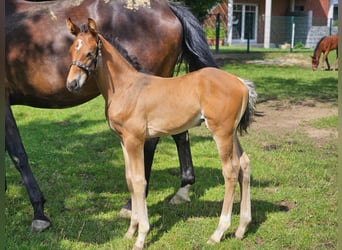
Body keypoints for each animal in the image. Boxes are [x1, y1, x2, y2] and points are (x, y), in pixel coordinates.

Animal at [5, 0, 218, 231]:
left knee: (150, 144)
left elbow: (17, 154)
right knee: (179, 133)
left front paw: (39, 214)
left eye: (90, 53)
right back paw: (182, 190)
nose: (72, 83)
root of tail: (168, 8)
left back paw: (131, 204)